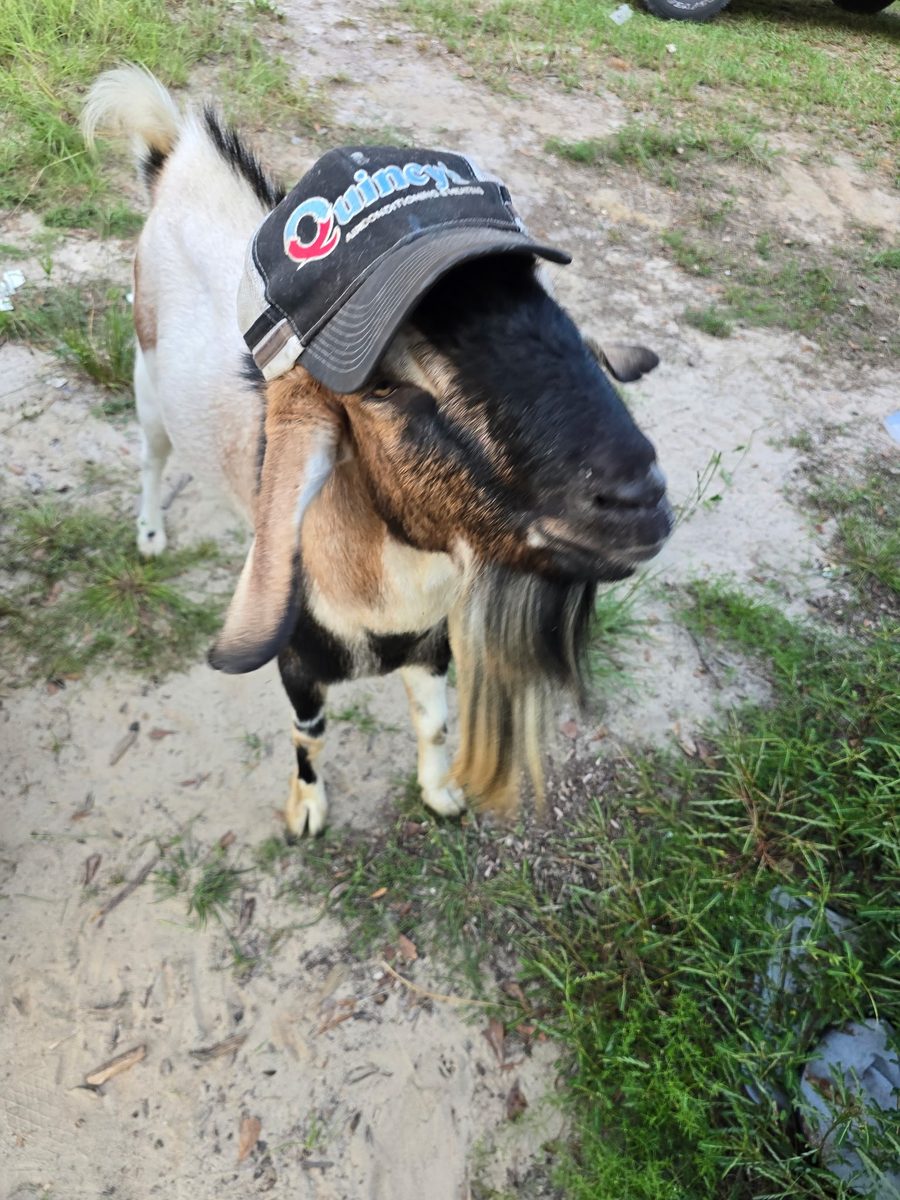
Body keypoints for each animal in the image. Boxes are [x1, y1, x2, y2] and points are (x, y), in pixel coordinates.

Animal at [82, 67, 673, 837]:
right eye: (388, 386)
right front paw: (307, 810)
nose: (640, 497)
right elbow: (309, 736)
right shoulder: (297, 665)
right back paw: (151, 534)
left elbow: (434, 724)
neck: (388, 598)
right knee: (152, 455)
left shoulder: (432, 648)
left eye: (564, 325)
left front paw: (441, 793)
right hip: (147, 380)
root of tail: (179, 158)